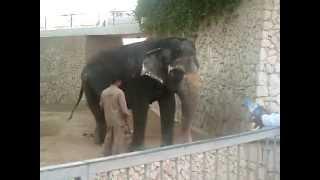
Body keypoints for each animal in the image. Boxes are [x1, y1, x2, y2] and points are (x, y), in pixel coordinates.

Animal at [68, 37, 200, 150]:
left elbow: (169, 105)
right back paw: (99, 142)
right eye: (176, 72)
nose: (186, 143)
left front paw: (165, 147)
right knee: (96, 109)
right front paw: (137, 149)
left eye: (199, 67)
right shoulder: (138, 80)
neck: (161, 43)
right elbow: (141, 107)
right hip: (88, 85)